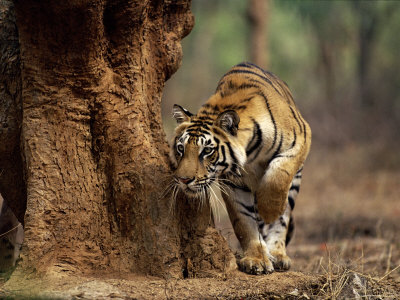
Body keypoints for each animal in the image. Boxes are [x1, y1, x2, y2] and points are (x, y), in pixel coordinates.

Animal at [170, 62, 310, 274]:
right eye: (181, 148)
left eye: (207, 150)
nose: (183, 180)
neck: (250, 154)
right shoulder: (233, 183)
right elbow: (244, 222)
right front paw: (256, 260)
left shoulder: (302, 137)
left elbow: (277, 177)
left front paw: (269, 211)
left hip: (295, 183)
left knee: (283, 218)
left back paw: (278, 254)